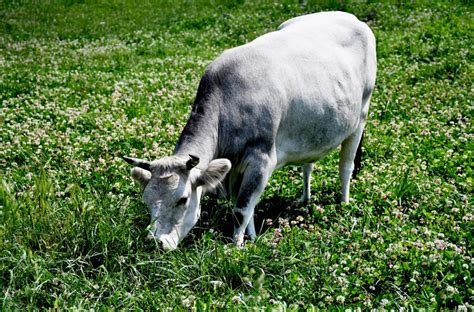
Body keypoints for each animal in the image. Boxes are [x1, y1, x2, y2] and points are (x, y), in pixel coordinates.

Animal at [124, 12, 376, 250]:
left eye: (183, 199)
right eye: (147, 201)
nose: (156, 242)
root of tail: (351, 18)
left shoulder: (261, 159)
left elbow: (242, 210)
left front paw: (237, 247)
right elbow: (250, 207)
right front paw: (252, 237)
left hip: (361, 116)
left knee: (346, 166)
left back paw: (344, 203)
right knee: (308, 165)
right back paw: (305, 198)